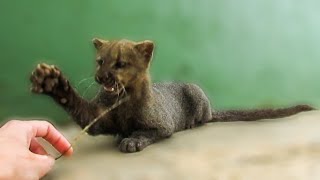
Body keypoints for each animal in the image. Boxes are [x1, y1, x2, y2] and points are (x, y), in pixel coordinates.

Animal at [28, 38, 314, 153]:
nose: (101, 77)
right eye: (100, 61)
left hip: (196, 93)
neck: (122, 105)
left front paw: (131, 140)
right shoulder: (98, 118)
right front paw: (51, 82)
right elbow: (76, 105)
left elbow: (147, 132)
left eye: (120, 64)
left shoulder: (163, 125)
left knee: (204, 118)